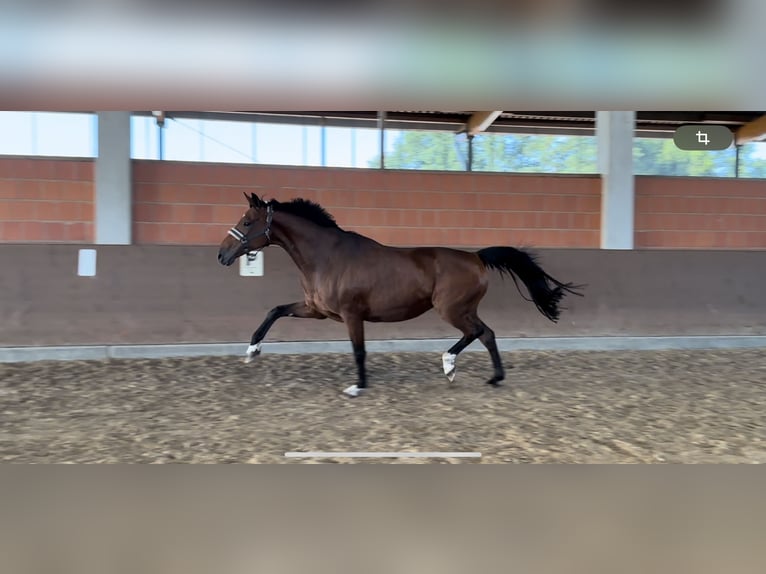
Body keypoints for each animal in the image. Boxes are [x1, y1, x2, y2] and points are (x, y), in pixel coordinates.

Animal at [219, 196, 584, 398]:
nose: (222, 255)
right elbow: (275, 310)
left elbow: (359, 351)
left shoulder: (351, 315)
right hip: (462, 309)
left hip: (451, 309)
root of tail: (476, 257)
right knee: (488, 334)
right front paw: (251, 352)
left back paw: (449, 365)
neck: (327, 256)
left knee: (478, 332)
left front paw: (357, 387)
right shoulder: (316, 309)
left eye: (247, 221)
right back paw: (492, 377)